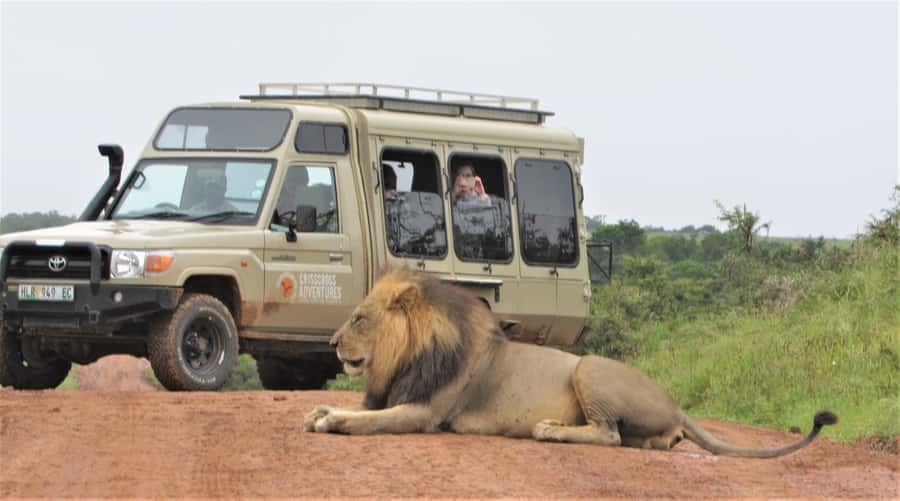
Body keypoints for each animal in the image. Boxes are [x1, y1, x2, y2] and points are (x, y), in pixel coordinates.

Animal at [304, 270, 837, 458]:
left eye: (359, 317)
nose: (331, 342)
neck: (403, 357)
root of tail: (678, 406)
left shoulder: (426, 412)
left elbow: (369, 421)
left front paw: (332, 420)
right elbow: (359, 408)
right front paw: (318, 412)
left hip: (588, 368)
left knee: (610, 434)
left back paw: (551, 430)